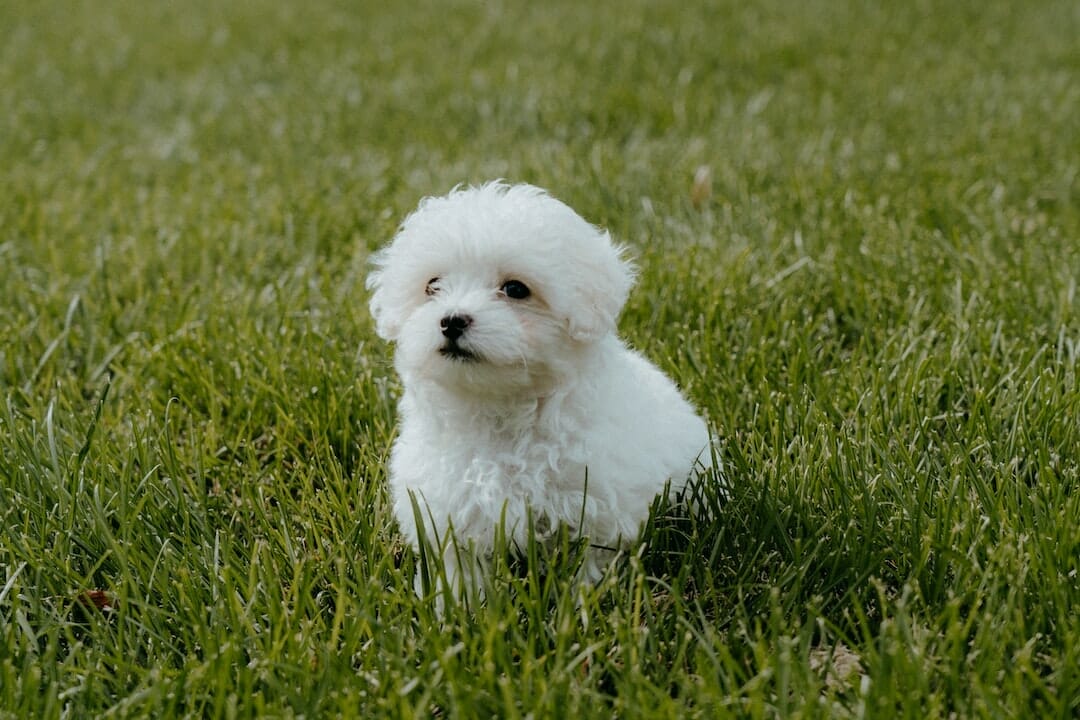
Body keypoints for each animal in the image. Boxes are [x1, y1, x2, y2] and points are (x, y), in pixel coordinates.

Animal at [367, 181, 712, 595]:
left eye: (516, 289)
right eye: (432, 286)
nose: (451, 321)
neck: (500, 411)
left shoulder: (596, 507)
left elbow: (591, 561)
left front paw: (583, 598)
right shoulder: (447, 512)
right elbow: (460, 566)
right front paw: (456, 602)